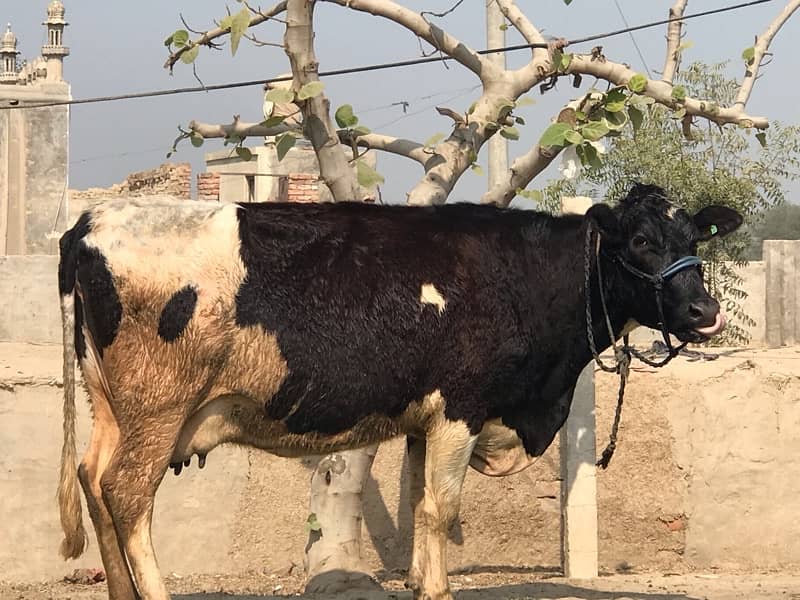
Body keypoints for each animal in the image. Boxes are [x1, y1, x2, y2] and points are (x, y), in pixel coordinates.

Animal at [56, 184, 744, 600]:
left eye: (694, 241)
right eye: (641, 242)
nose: (706, 311)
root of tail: (91, 221)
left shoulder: (422, 420)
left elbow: (418, 504)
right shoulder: (460, 406)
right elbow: (441, 508)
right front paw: (437, 587)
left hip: (112, 407)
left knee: (92, 479)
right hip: (157, 408)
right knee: (126, 492)